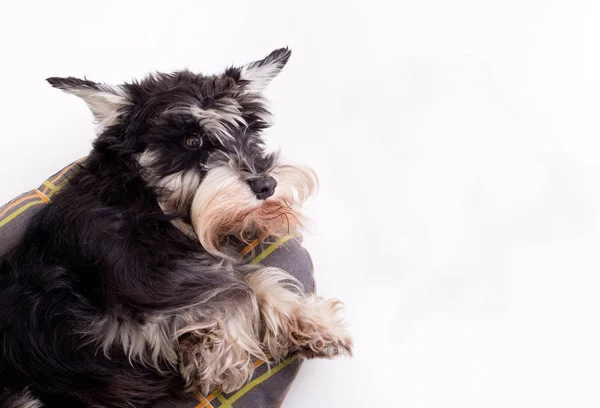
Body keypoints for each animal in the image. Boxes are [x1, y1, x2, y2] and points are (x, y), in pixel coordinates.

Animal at [0, 48, 352, 408]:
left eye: (249, 132)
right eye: (192, 140)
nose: (267, 184)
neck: (147, 204)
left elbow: (252, 279)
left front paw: (315, 324)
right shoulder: (141, 293)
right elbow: (235, 292)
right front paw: (222, 358)